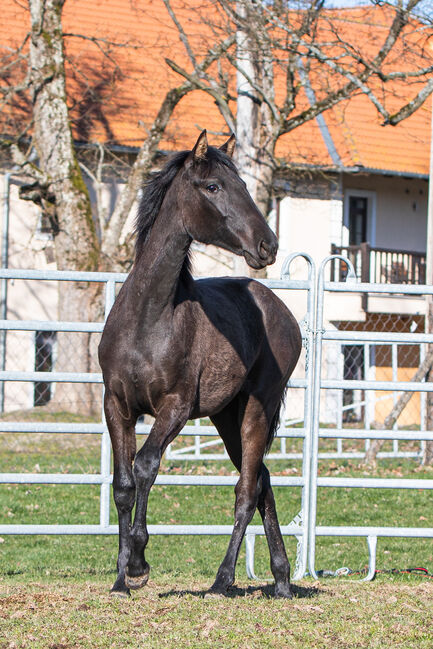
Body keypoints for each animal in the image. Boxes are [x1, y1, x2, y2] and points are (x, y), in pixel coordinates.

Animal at [97, 132, 300, 596]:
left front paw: (140, 563)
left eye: (243, 185)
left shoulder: (175, 407)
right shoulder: (116, 405)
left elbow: (146, 466)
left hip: (257, 409)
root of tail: (283, 312)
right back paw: (281, 580)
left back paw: (222, 581)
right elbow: (123, 484)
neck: (149, 319)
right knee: (262, 482)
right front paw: (119, 580)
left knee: (245, 491)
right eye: (213, 187)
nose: (268, 245)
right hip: (227, 418)